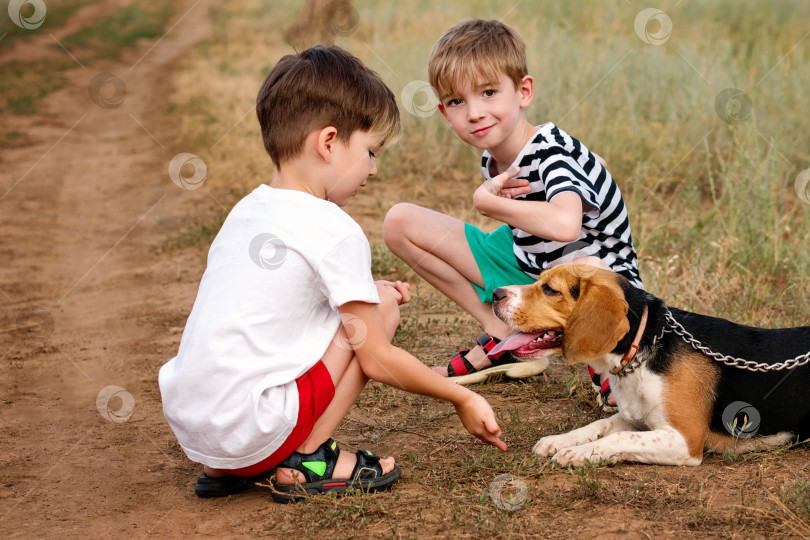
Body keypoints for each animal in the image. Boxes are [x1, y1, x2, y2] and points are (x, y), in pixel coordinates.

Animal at [486, 264, 808, 466]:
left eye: (551, 290)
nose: (495, 294)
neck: (643, 348)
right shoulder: (634, 418)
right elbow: (601, 424)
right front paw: (560, 440)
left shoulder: (686, 440)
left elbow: (619, 437)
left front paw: (579, 453)